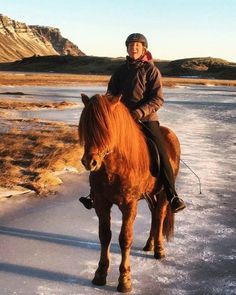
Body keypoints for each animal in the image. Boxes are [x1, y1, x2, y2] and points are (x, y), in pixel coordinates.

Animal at [79, 93, 181, 292]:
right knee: (154, 215)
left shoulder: (129, 205)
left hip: (163, 194)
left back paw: (159, 249)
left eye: (106, 127)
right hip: (150, 195)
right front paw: (100, 274)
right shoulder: (101, 204)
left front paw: (125, 280)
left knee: (160, 215)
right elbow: (105, 236)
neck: (115, 167)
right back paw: (149, 244)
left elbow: (125, 238)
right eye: (86, 127)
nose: (90, 162)